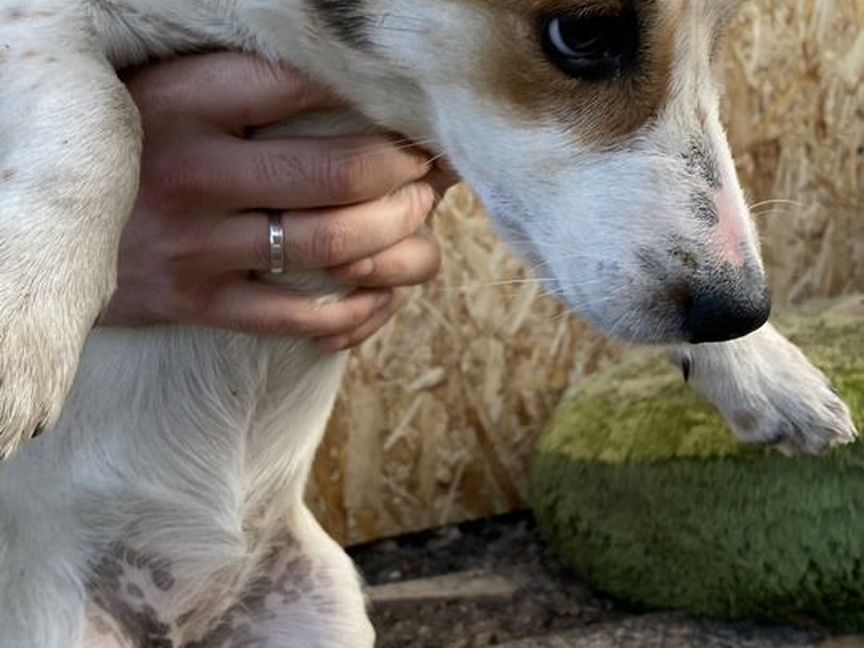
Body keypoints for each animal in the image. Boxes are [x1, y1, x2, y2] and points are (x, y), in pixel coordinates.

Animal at [0, 0, 856, 644]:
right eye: (582, 33)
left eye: (724, 32)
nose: (739, 308)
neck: (321, 75)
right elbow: (97, 112)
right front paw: (26, 310)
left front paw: (763, 368)